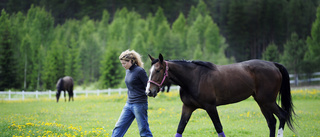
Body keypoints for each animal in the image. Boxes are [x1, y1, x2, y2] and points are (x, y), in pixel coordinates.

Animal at [145, 54, 296, 137]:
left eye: (157, 70)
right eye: (149, 71)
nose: (148, 91)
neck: (194, 78)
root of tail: (273, 65)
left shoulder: (211, 107)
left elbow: (219, 128)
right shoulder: (187, 107)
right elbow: (180, 128)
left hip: (268, 101)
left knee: (282, 115)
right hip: (262, 102)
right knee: (272, 122)